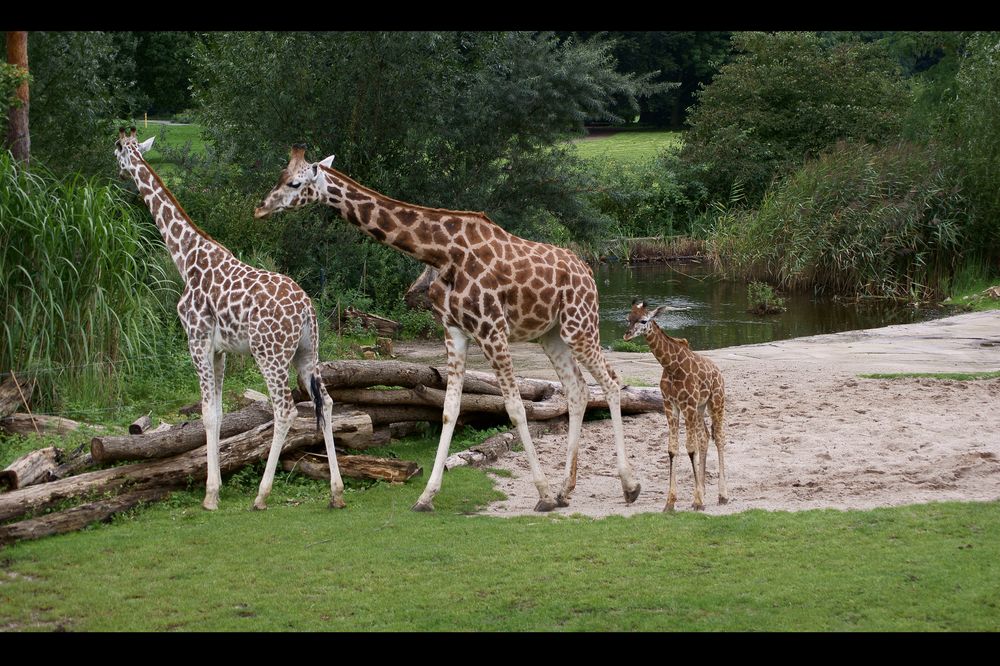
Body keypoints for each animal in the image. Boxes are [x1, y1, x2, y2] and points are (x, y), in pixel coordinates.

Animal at [113, 131, 346, 512]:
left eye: (117, 150)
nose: (118, 173)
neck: (185, 256)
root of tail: (307, 311)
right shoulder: (220, 349)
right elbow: (219, 414)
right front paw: (218, 485)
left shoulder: (197, 340)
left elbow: (207, 413)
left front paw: (210, 495)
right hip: (307, 354)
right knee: (324, 403)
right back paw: (336, 492)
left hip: (270, 354)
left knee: (285, 410)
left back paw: (262, 495)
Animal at [252, 144, 640, 508]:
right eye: (279, 176)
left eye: (295, 182)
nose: (260, 208)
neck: (440, 253)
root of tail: (588, 270)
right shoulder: (455, 332)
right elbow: (450, 409)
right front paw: (426, 497)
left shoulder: (492, 329)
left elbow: (515, 408)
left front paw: (542, 494)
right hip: (552, 334)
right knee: (578, 390)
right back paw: (566, 489)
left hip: (580, 324)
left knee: (611, 381)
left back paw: (628, 486)